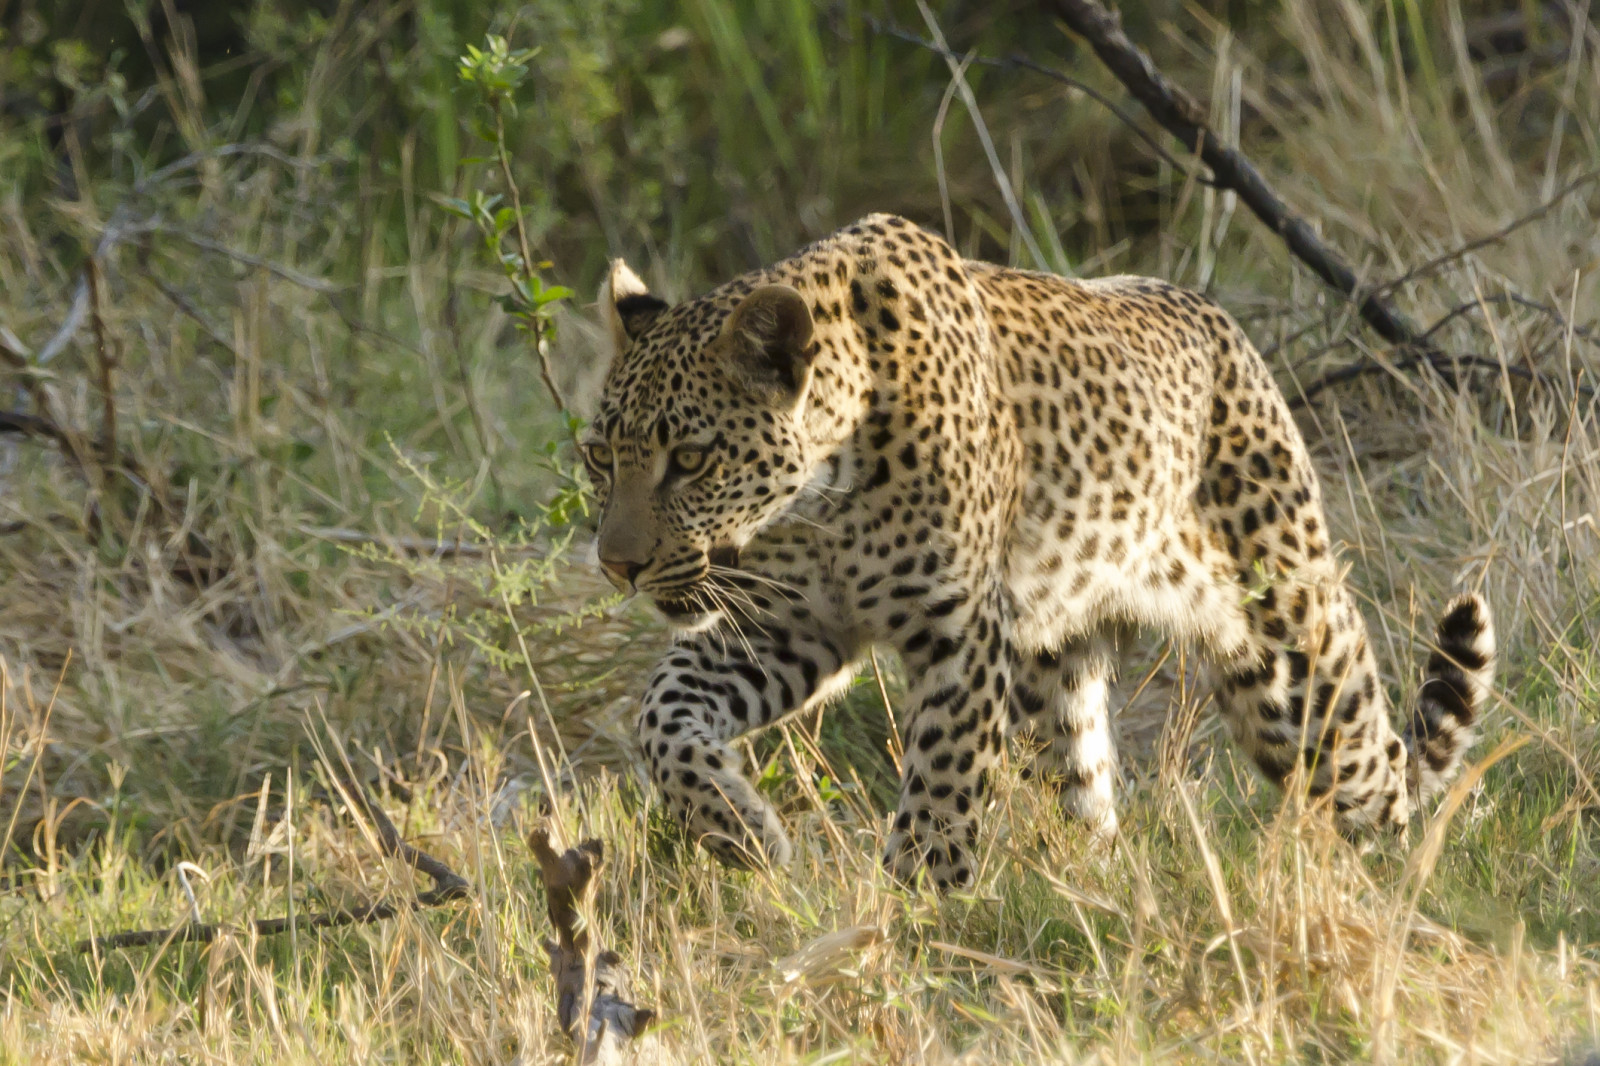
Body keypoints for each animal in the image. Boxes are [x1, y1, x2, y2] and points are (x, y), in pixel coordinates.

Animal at [577, 213, 1496, 891]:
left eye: (690, 458)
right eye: (599, 457)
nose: (618, 565)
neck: (820, 499)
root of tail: (1221, 323)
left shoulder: (954, 634)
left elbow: (940, 794)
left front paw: (915, 928)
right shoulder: (788, 626)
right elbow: (661, 714)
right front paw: (740, 833)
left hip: (1291, 656)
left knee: (1380, 768)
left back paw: (1404, 896)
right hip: (1063, 663)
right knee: (1086, 790)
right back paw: (1092, 888)